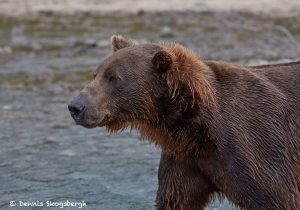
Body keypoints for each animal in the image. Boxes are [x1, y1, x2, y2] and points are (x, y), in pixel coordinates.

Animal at [68, 35, 300, 210]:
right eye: (96, 74)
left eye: (113, 77)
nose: (76, 106)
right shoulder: (186, 160)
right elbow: (175, 199)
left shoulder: (256, 146)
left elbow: (277, 197)